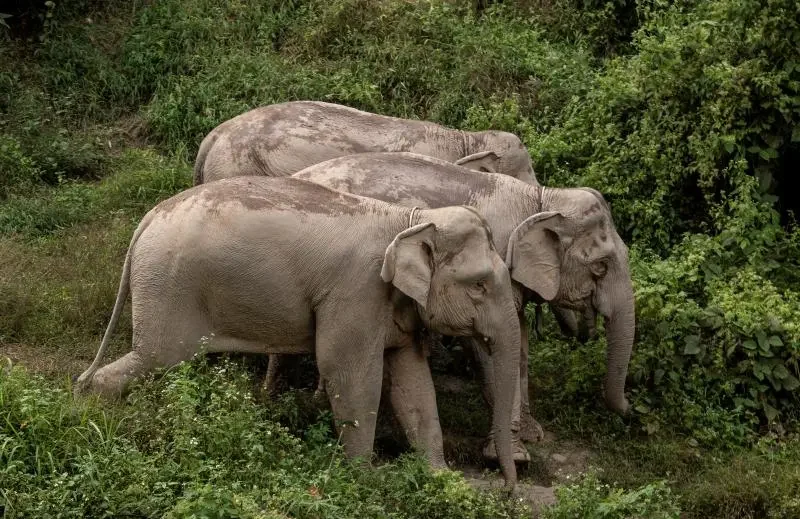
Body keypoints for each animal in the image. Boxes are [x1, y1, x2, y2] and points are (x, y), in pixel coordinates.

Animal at [74, 176, 522, 488]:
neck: (408, 219)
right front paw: (366, 480)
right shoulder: (355, 292)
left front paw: (441, 480)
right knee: (153, 357)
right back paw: (101, 416)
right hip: (167, 285)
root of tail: (148, 219)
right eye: (479, 285)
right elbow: (350, 373)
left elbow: (413, 384)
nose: (506, 487)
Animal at [289, 152, 636, 461]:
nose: (630, 410)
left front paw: (530, 435)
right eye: (601, 266)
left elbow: (519, 342)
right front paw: (514, 456)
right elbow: (488, 350)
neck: (541, 200)